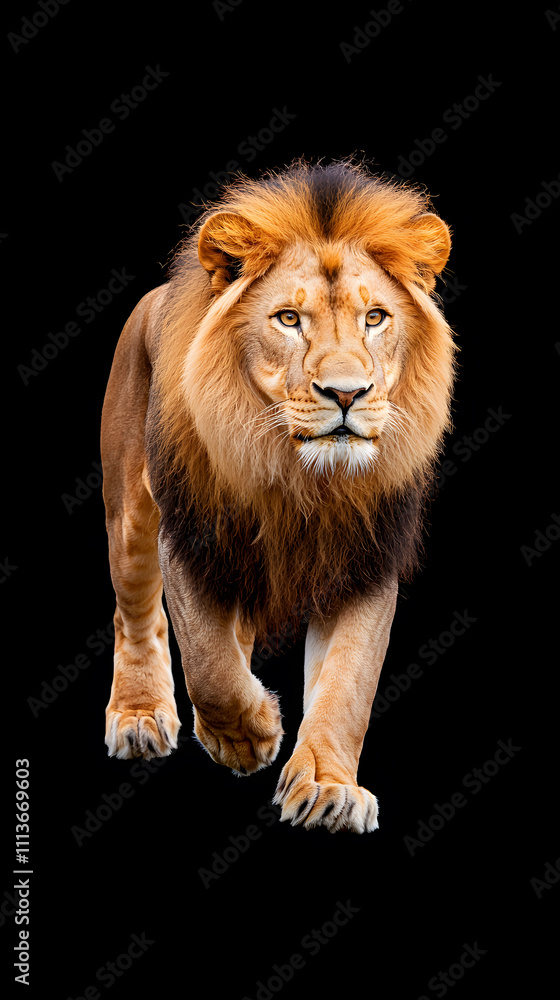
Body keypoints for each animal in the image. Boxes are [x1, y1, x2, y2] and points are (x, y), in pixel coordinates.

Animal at [101, 157, 455, 834]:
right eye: (289, 319)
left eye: (376, 318)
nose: (346, 393)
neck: (304, 481)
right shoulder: (190, 538)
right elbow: (208, 661)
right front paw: (248, 736)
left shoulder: (366, 559)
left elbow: (347, 682)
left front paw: (328, 788)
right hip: (130, 516)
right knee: (135, 616)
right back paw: (139, 716)